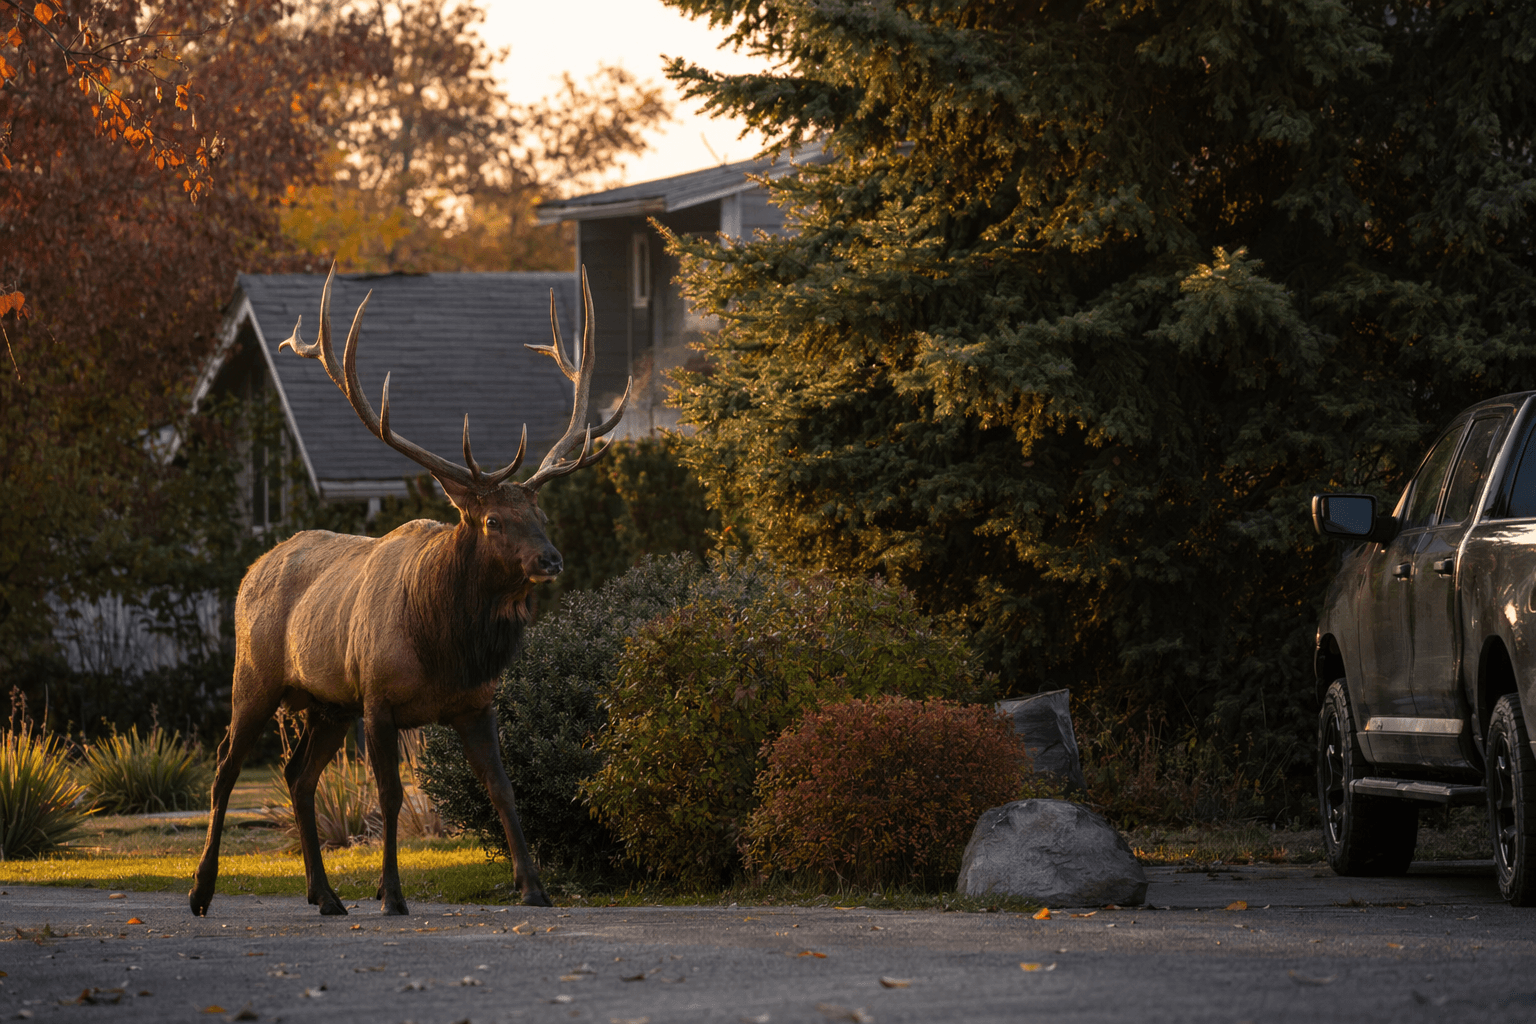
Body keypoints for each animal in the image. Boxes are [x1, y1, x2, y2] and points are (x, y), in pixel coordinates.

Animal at [189, 265, 628, 918]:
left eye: (541, 512)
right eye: (493, 520)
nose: (550, 559)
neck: (444, 647)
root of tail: (250, 570)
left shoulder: (475, 703)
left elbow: (503, 791)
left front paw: (534, 887)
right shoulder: (377, 698)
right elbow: (391, 796)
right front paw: (391, 893)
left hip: (326, 704)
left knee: (297, 775)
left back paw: (325, 894)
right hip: (257, 676)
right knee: (224, 769)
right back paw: (201, 890)